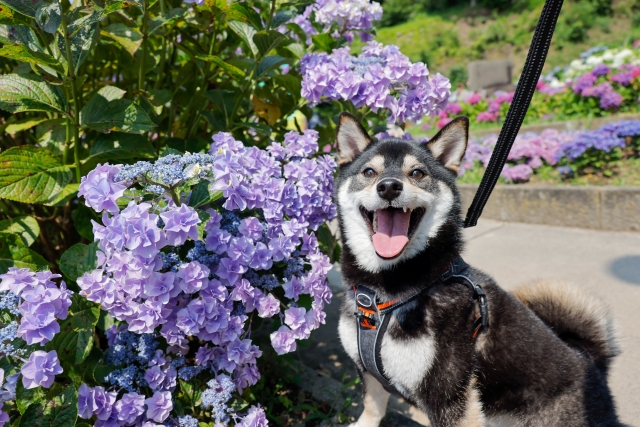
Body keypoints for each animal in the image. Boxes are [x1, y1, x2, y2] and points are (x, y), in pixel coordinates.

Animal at [336, 113, 620, 427]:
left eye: (417, 173)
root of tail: (591, 362)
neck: (387, 292)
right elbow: (372, 406)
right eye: (369, 172)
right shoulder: (367, 370)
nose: (388, 186)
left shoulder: (449, 394)